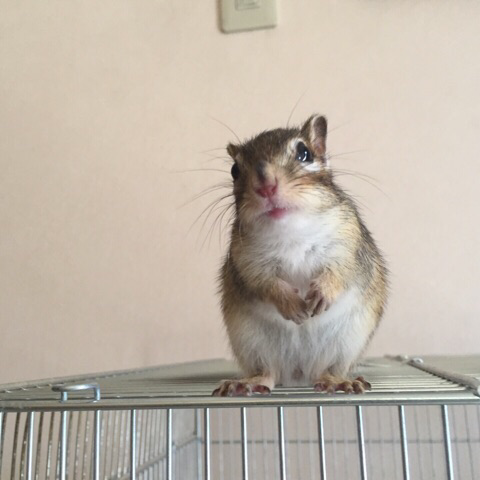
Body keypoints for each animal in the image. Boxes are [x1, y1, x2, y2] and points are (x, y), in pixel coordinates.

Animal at [213, 115, 388, 396]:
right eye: (234, 170)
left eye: (304, 153)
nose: (266, 186)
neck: (291, 232)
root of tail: (298, 376)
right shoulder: (246, 261)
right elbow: (263, 283)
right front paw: (291, 304)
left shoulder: (348, 244)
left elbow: (341, 271)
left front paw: (323, 293)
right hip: (253, 344)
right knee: (267, 372)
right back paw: (245, 383)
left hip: (345, 344)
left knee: (327, 370)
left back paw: (338, 381)